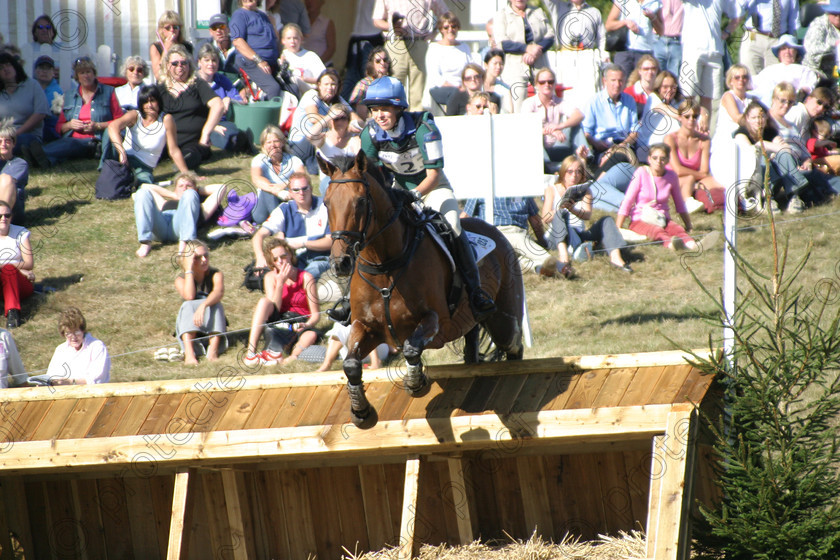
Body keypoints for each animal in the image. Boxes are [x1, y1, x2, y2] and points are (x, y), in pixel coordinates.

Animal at [318, 153, 520, 428]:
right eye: (326, 203)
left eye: (360, 201)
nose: (341, 263)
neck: (385, 265)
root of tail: (493, 229)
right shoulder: (366, 326)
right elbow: (350, 364)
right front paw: (361, 412)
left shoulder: (436, 321)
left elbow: (411, 348)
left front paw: (416, 385)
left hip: (503, 322)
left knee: (514, 346)